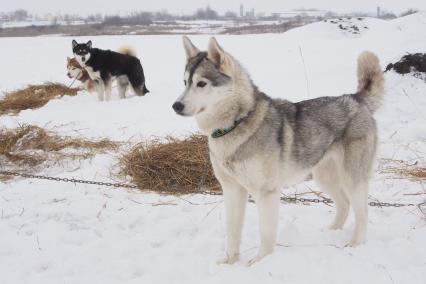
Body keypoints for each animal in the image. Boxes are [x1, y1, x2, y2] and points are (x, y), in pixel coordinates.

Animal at [171, 36, 384, 266]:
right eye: (185, 82)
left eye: (201, 83)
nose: (176, 105)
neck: (236, 123)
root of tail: (355, 98)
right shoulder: (232, 190)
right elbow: (233, 231)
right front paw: (230, 261)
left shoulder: (267, 193)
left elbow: (266, 233)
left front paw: (258, 262)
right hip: (324, 176)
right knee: (344, 205)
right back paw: (330, 232)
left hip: (352, 179)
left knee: (362, 212)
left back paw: (354, 243)